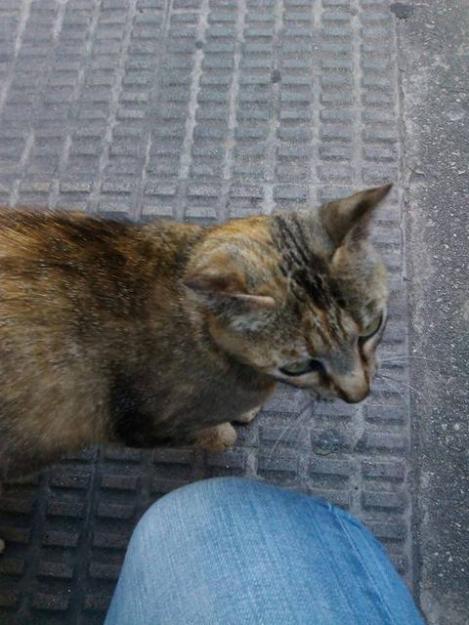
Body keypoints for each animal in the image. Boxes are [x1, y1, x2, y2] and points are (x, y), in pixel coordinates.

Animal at [0, 186, 390, 552]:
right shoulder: (140, 425)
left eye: (371, 328)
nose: (358, 393)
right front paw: (222, 429)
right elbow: (217, 435)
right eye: (299, 365)